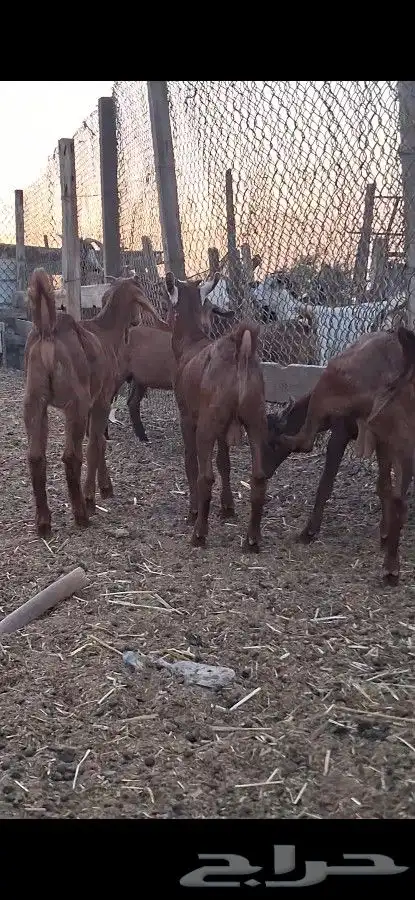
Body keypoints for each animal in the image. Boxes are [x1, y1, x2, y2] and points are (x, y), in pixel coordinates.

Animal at [23, 268, 164, 537]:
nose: (136, 321)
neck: (105, 332)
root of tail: (48, 331)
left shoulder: (93, 403)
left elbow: (98, 442)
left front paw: (105, 486)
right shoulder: (101, 399)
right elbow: (95, 444)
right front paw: (92, 497)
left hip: (34, 400)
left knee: (35, 456)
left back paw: (43, 522)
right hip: (74, 404)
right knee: (71, 456)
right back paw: (80, 514)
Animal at [165, 271, 268, 551]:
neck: (190, 343)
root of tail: (241, 352)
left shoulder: (187, 416)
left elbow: (190, 461)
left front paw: (192, 512)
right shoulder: (225, 426)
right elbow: (225, 462)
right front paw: (228, 507)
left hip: (207, 424)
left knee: (205, 475)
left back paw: (199, 532)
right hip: (256, 419)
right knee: (258, 474)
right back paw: (252, 538)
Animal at [276, 327, 415, 584]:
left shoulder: (343, 430)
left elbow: (327, 481)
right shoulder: (385, 441)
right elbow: (384, 487)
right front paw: (384, 534)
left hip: (328, 383)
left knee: (306, 439)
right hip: (404, 446)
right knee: (400, 502)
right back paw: (391, 567)